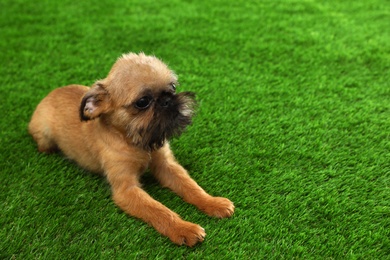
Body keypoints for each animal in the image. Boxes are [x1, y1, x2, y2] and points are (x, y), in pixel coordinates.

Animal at [29, 52, 235, 246]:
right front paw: (183, 228)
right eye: (142, 102)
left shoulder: (167, 166)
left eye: (173, 87)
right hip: (44, 134)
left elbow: (190, 186)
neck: (136, 142)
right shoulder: (127, 190)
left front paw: (213, 202)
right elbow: (157, 209)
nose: (167, 100)